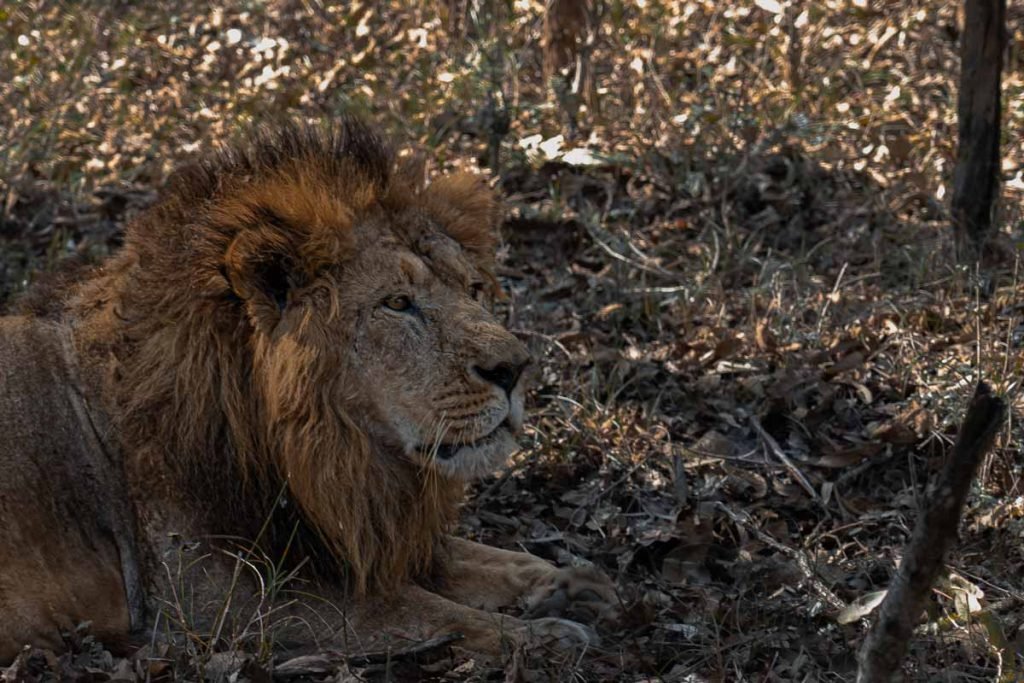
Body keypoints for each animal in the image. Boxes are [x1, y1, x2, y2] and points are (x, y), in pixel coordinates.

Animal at [0, 119, 618, 664]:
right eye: (398, 303)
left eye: (473, 289)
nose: (515, 368)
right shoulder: (212, 600)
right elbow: (414, 610)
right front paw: (543, 636)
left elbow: (467, 559)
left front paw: (571, 584)